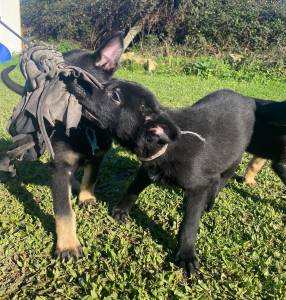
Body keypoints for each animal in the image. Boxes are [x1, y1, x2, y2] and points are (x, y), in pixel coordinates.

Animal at [1, 32, 124, 258]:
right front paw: (67, 245)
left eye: (78, 80)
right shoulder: (58, 167)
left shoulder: (97, 156)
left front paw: (85, 198)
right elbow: (64, 211)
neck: (83, 127)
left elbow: (90, 179)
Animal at [71, 79, 286, 274]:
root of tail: (247, 99)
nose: (75, 81)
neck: (166, 145)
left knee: (220, 181)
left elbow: (189, 224)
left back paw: (209, 203)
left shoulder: (197, 188)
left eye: (114, 96)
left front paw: (186, 254)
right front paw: (121, 211)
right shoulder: (147, 170)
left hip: (232, 161)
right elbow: (132, 189)